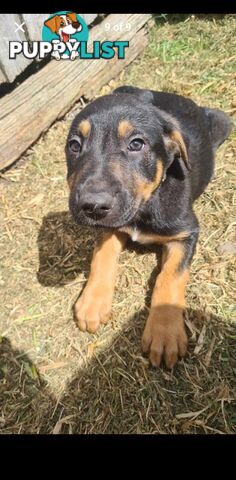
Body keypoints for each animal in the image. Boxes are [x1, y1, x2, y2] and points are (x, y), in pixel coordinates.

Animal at [65, 85, 231, 368]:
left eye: (136, 144)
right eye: (74, 146)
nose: (93, 206)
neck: (146, 203)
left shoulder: (186, 232)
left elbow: (170, 276)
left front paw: (165, 332)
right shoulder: (112, 223)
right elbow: (102, 254)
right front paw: (93, 301)